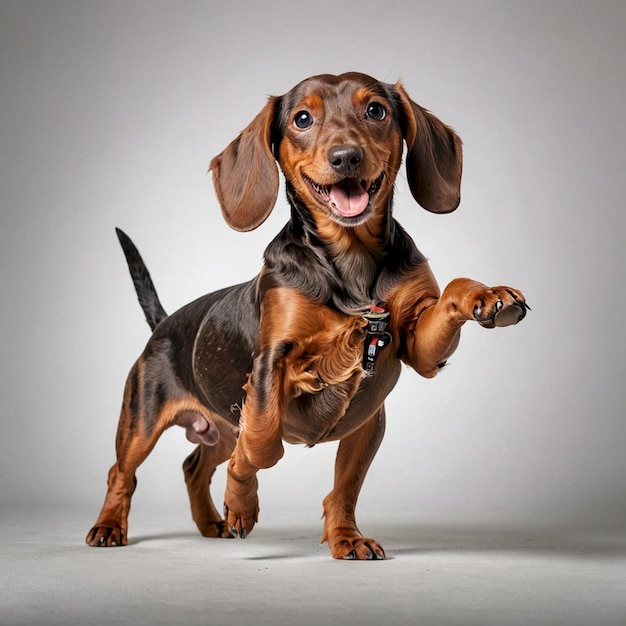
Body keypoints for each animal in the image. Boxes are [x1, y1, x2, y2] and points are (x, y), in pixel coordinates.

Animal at [85, 70, 528, 560]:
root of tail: (162, 324)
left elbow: (344, 487)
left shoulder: (414, 353)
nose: (346, 156)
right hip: (141, 420)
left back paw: (210, 522)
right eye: (301, 118)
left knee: (193, 464)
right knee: (122, 472)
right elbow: (262, 445)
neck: (352, 263)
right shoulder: (271, 362)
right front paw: (242, 502)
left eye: (376, 110)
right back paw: (110, 527)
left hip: (218, 425)